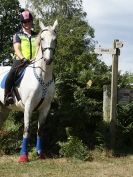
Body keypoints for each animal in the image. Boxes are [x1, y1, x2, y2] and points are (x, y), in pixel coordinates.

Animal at [0, 19, 57, 162]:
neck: (43, 76)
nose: (48, 60)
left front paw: (40, 154)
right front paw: (23, 157)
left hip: (4, 109)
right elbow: (26, 130)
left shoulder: (45, 107)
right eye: (42, 38)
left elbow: (40, 131)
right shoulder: (28, 107)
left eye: (55, 39)